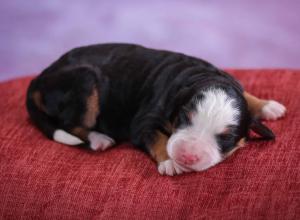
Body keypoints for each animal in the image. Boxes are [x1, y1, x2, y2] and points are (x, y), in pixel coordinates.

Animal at [26, 43, 286, 176]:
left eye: (226, 138)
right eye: (184, 118)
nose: (187, 156)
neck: (196, 75)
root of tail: (40, 77)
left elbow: (245, 95)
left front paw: (266, 105)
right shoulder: (144, 121)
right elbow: (157, 137)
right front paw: (170, 162)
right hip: (85, 81)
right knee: (71, 124)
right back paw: (99, 138)